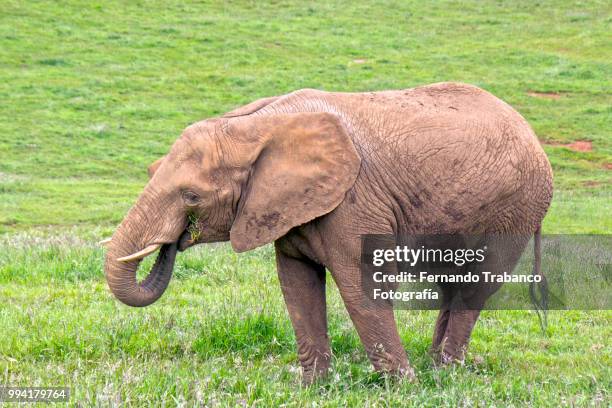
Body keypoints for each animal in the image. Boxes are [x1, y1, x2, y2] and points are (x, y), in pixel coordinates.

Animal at [101, 83, 556, 386]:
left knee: (476, 285)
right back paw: (435, 365)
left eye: (192, 196)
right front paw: (314, 387)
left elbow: (362, 285)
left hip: (513, 209)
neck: (259, 125)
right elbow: (296, 284)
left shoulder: (353, 200)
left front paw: (403, 387)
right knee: (451, 283)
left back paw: (445, 373)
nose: (174, 240)